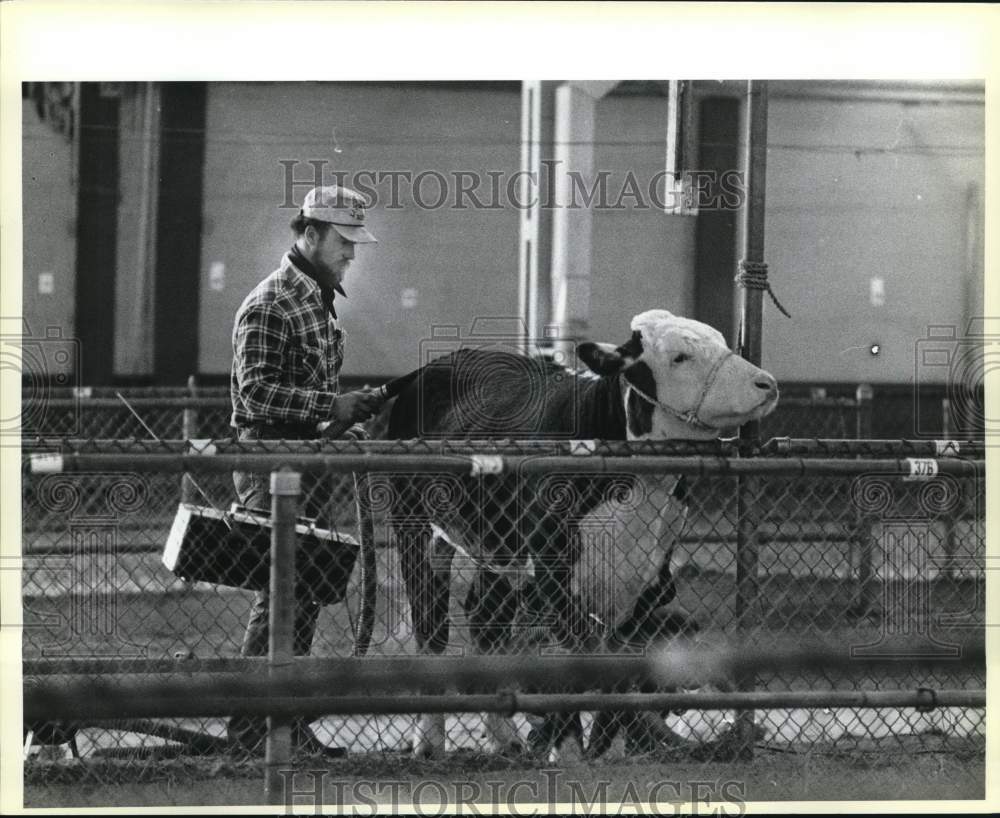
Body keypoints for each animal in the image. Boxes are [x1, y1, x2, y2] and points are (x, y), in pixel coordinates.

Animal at [384, 310, 780, 756]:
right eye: (680, 357)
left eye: (723, 342)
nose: (766, 384)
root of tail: (433, 366)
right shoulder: (554, 578)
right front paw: (572, 750)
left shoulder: (649, 584)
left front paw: (608, 750)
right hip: (415, 527)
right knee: (432, 626)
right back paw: (429, 741)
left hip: (499, 548)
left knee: (487, 618)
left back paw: (505, 738)